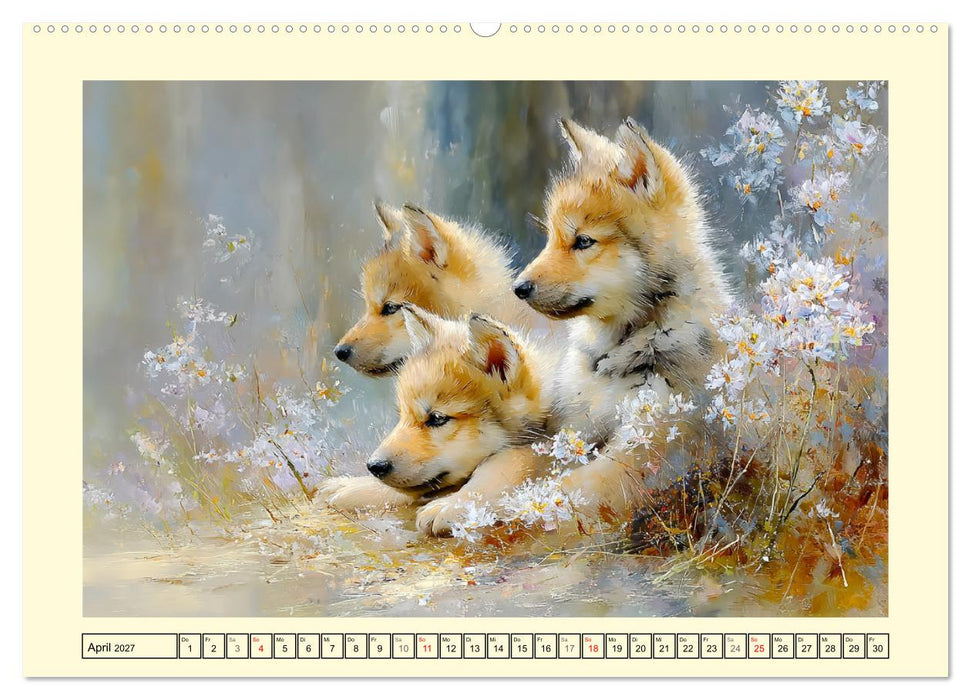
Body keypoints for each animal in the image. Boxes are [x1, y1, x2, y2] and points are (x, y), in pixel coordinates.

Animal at [320, 306, 553, 536]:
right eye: (402, 415)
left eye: (437, 418)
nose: (374, 466)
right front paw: (354, 486)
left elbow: (509, 465)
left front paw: (453, 505)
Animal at [512, 117, 732, 517]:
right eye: (551, 238)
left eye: (583, 241)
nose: (518, 288)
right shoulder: (574, 428)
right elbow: (511, 467)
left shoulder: (646, 443)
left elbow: (562, 491)